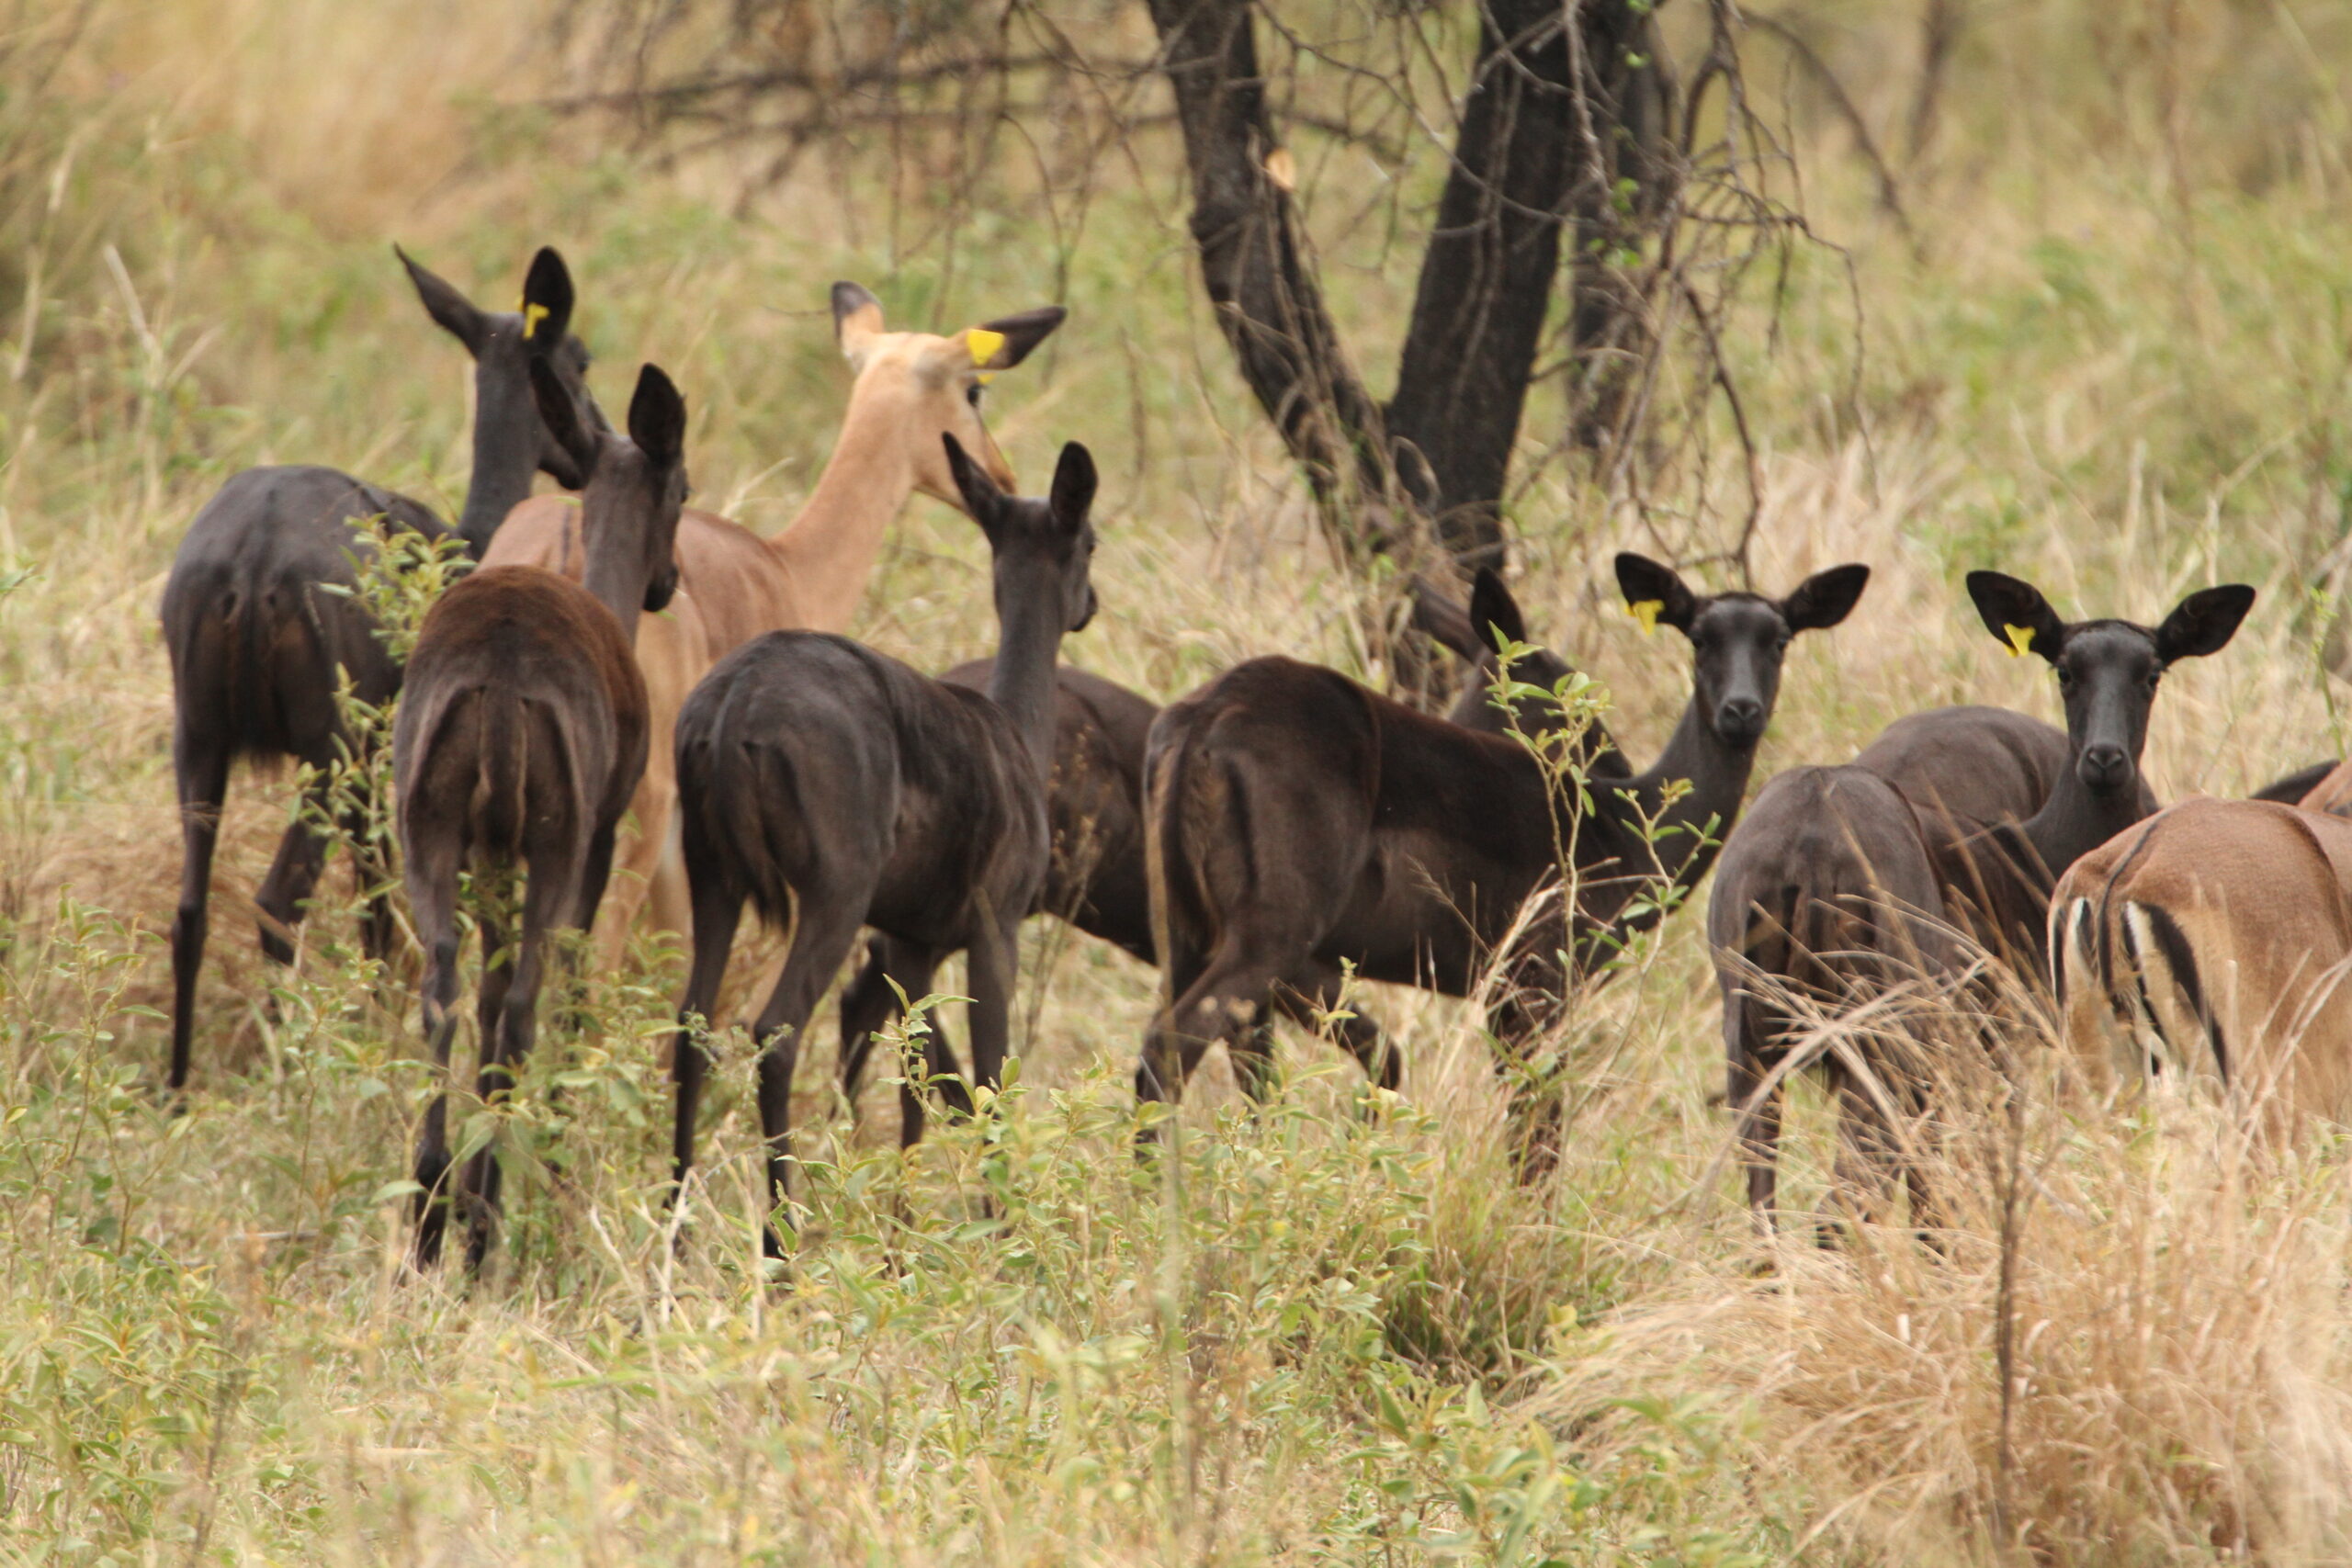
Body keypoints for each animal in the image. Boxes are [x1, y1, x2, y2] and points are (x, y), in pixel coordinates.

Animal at [159, 246, 602, 1093]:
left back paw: (175, 1090)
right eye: (581, 357)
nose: (595, 444)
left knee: (192, 907)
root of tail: (252, 561)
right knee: (278, 900)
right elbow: (386, 917)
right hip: (329, 754)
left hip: (199, 737)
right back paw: (286, 1077)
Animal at [397, 362, 688, 1270]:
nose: (671, 580)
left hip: (431, 833)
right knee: (529, 996)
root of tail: (501, 662)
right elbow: (567, 986)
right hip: (558, 843)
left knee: (446, 986)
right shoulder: (596, 838)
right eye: (684, 486)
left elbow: (487, 991)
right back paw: (485, 1218)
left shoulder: (493, 853)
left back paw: (432, 1202)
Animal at [666, 434, 1098, 1256]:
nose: (1092, 603)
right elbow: (989, 1076)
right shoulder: (993, 927)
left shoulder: (910, 942)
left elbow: (915, 1085)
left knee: (691, 1028)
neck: (1016, 738)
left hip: (713, 880)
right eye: (1092, 538)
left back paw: (672, 1240)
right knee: (774, 1031)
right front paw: (1000, 1240)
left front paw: (904, 1247)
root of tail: (734, 704)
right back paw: (780, 1246)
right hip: (836, 891)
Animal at [1135, 554, 1870, 1163]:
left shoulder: (1496, 996)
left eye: (1780, 638)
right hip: (1269, 936)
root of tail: (1202, 720)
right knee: (1167, 1050)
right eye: (1699, 636)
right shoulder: (1534, 984)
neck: (1621, 835)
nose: (1740, 711)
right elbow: (1538, 1138)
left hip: (1192, 934)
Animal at [1711, 571, 2254, 1225]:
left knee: (1765, 1208)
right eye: (2064, 670)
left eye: (2151, 673)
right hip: (1887, 1028)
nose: (2105, 758)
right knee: (1842, 1204)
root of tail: (1808, 846)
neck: (2033, 858)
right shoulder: (2000, 1048)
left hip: (1749, 1027)